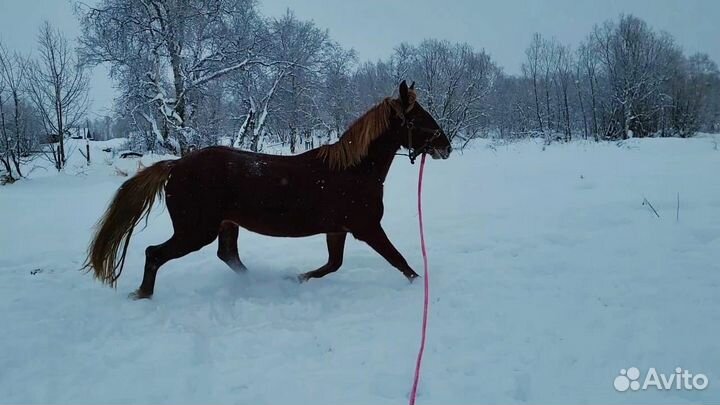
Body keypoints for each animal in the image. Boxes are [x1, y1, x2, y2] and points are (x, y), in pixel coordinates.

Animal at [85, 80, 452, 299]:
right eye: (418, 118)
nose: (446, 146)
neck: (353, 171)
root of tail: (176, 165)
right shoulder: (367, 227)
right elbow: (398, 260)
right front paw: (421, 284)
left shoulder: (338, 229)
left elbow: (333, 264)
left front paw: (298, 278)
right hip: (195, 231)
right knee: (155, 254)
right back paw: (143, 294)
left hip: (225, 225)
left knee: (228, 255)